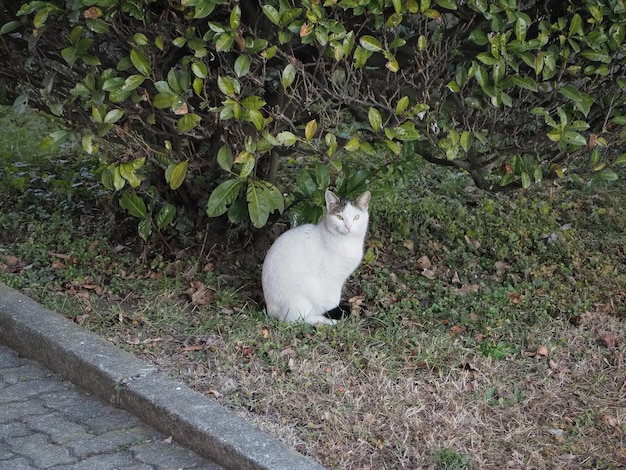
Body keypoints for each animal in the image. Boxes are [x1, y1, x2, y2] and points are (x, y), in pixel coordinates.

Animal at [260, 189, 368, 324]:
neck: (348, 243)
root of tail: (271, 310)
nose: (348, 227)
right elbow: (332, 300)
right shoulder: (331, 278)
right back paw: (327, 320)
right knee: (298, 319)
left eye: (356, 217)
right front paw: (333, 310)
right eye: (339, 217)